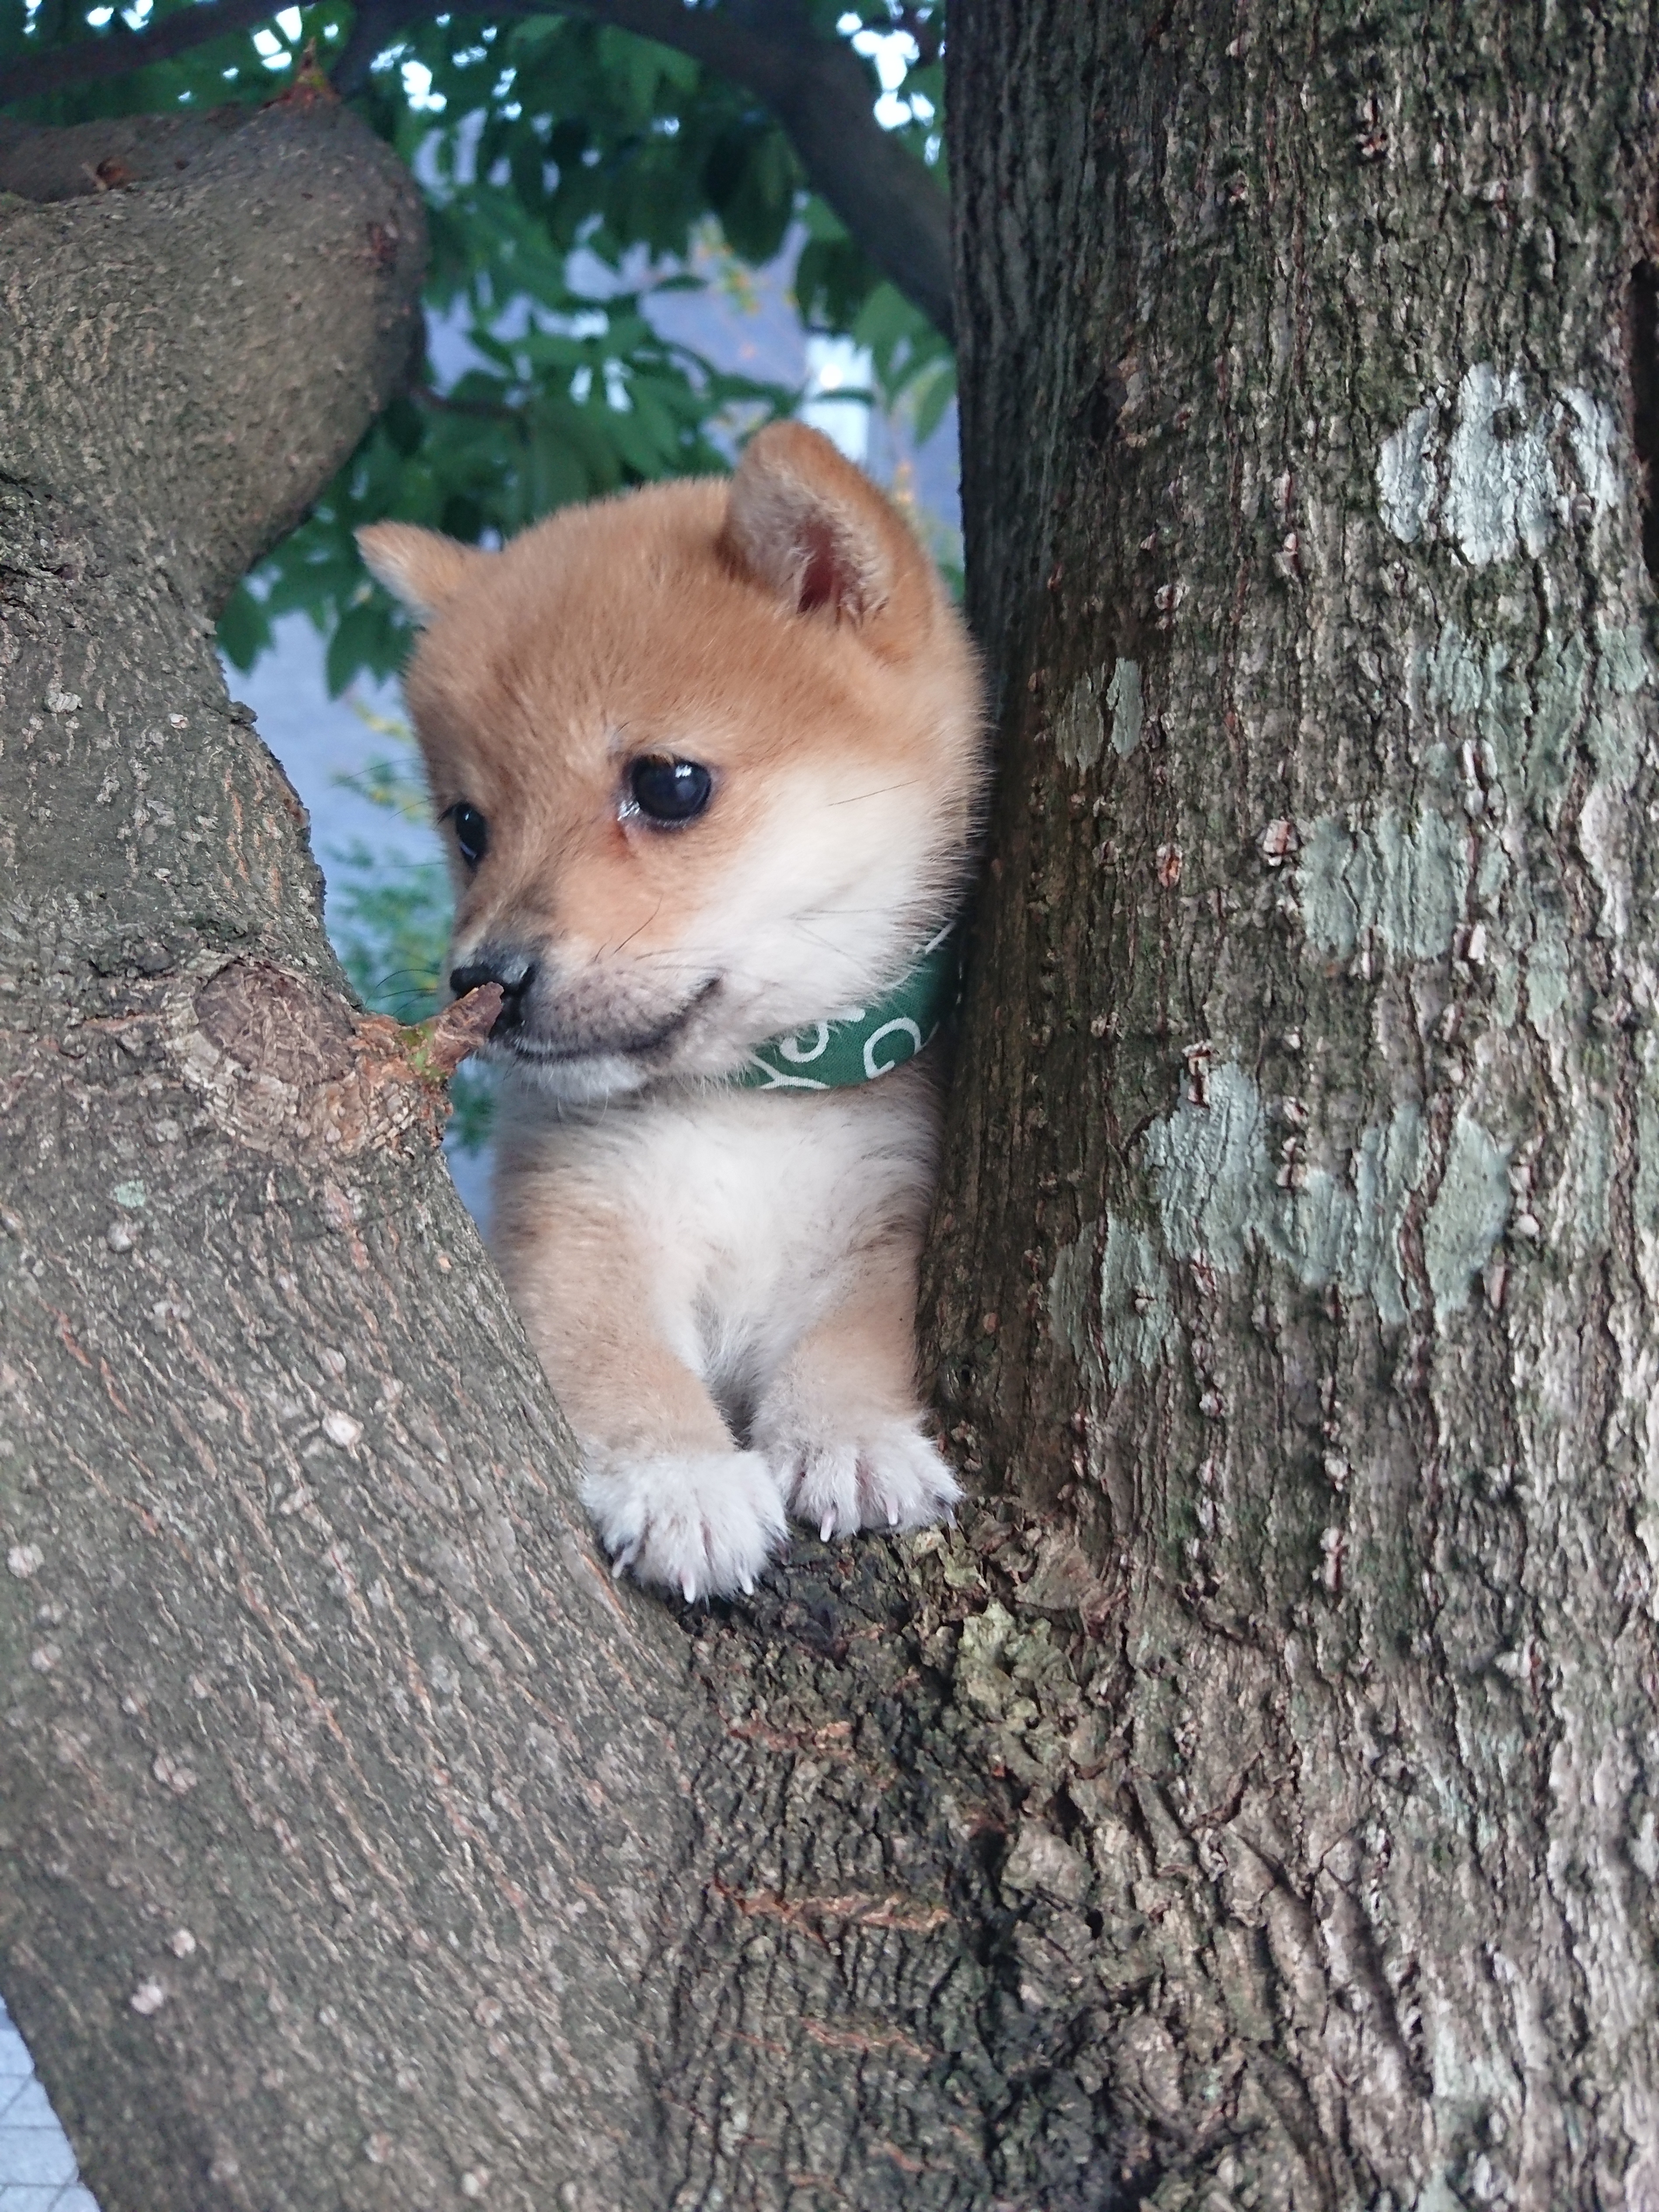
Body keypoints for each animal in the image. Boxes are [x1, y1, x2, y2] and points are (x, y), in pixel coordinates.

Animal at [360, 422, 986, 1601]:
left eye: (670, 785)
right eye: (469, 825)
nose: (482, 980)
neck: (745, 1098)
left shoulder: (890, 1211)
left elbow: (857, 1333)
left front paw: (849, 1433)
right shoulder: (574, 1227)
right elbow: (619, 1359)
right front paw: (680, 1479)